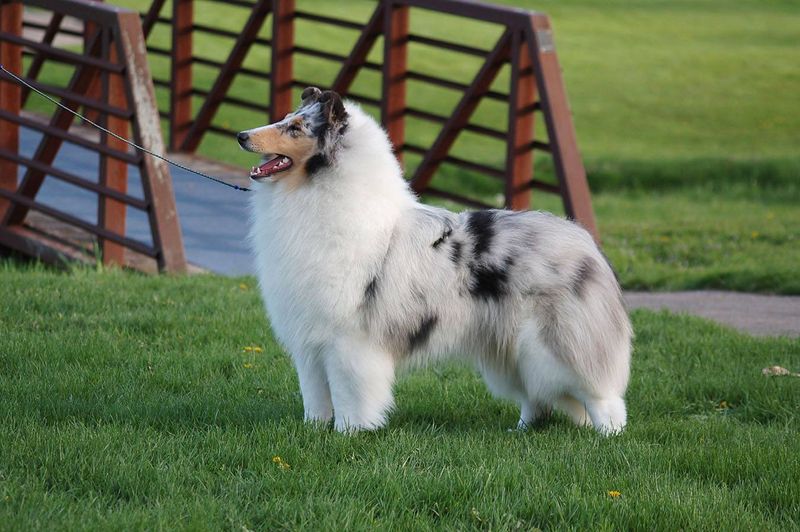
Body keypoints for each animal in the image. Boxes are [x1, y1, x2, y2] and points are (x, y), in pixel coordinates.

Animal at [238, 87, 632, 434]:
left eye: (295, 128)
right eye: (284, 119)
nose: (241, 135)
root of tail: (585, 241)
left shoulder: (347, 341)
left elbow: (349, 395)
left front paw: (348, 433)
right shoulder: (311, 343)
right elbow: (315, 397)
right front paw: (314, 431)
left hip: (555, 346)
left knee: (601, 395)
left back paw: (608, 435)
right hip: (511, 350)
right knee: (536, 397)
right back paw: (520, 431)